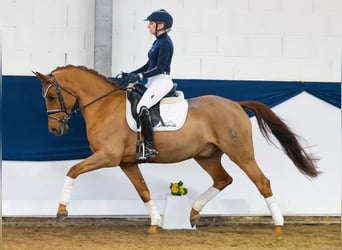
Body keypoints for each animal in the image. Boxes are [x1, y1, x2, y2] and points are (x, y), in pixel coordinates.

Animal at [33, 65, 320, 233]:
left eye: (52, 96)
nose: (55, 130)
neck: (104, 107)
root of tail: (235, 104)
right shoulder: (127, 162)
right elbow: (143, 190)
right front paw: (156, 222)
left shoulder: (108, 156)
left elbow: (72, 170)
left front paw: (61, 211)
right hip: (206, 155)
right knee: (223, 179)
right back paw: (192, 215)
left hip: (240, 153)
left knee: (262, 182)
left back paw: (278, 224)